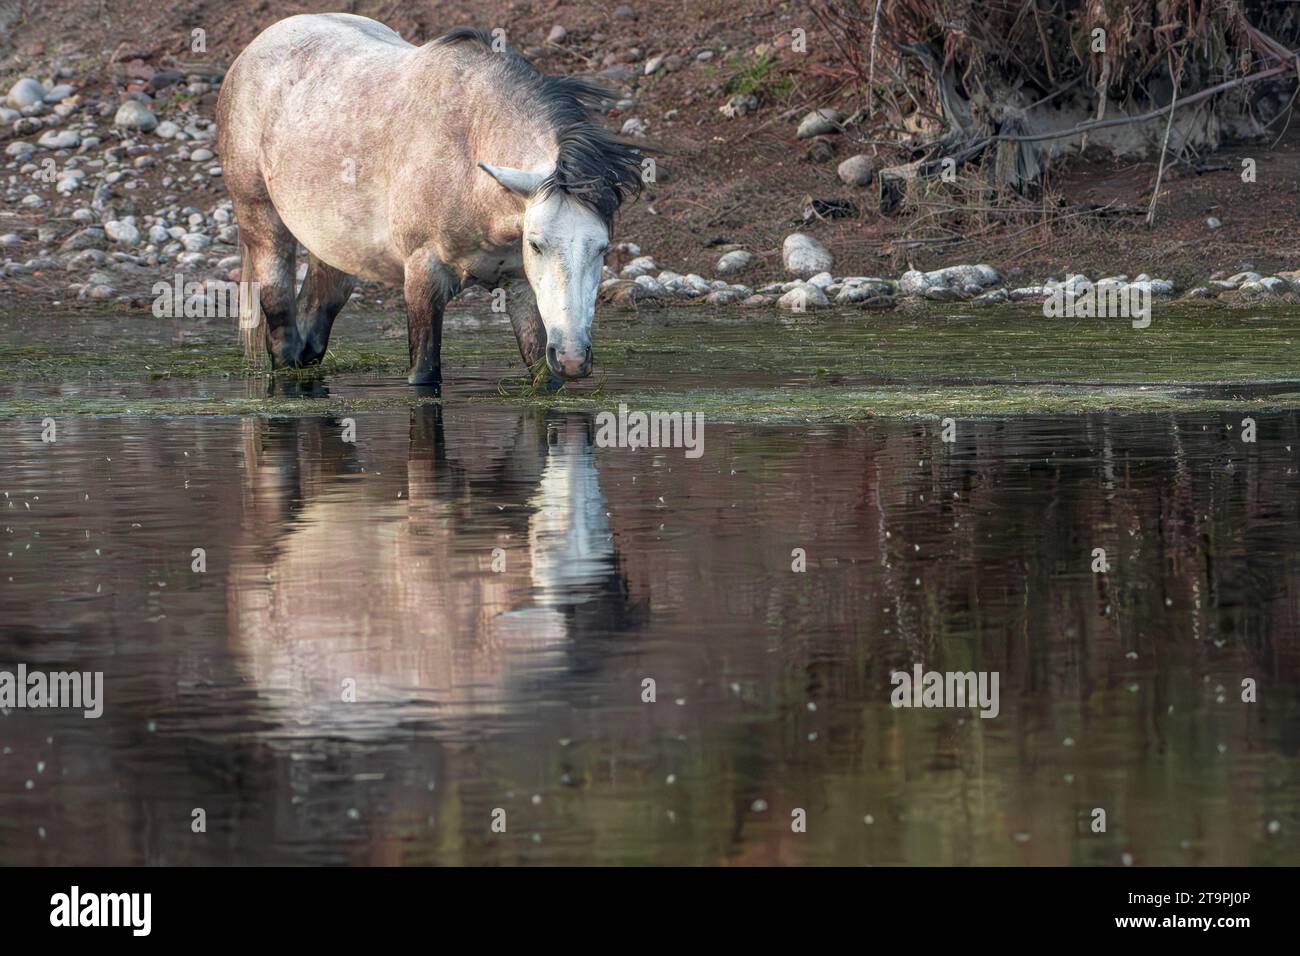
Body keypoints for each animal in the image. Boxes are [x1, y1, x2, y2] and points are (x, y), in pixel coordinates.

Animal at [217, 13, 644, 387]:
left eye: (602, 247)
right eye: (537, 244)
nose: (572, 358)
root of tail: (253, 50)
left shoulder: (520, 287)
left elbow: (541, 372)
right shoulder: (424, 279)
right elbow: (424, 374)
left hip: (333, 249)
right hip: (262, 223)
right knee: (282, 330)